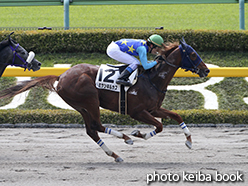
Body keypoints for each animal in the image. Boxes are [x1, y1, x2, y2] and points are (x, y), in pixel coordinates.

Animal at [0, 37, 209, 161]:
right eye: (192, 54)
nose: (206, 70)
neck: (153, 79)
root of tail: (62, 75)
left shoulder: (153, 108)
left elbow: (177, 117)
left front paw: (189, 141)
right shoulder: (137, 112)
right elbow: (159, 126)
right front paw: (137, 134)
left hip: (80, 106)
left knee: (92, 130)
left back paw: (114, 154)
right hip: (90, 100)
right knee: (97, 126)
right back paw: (125, 138)